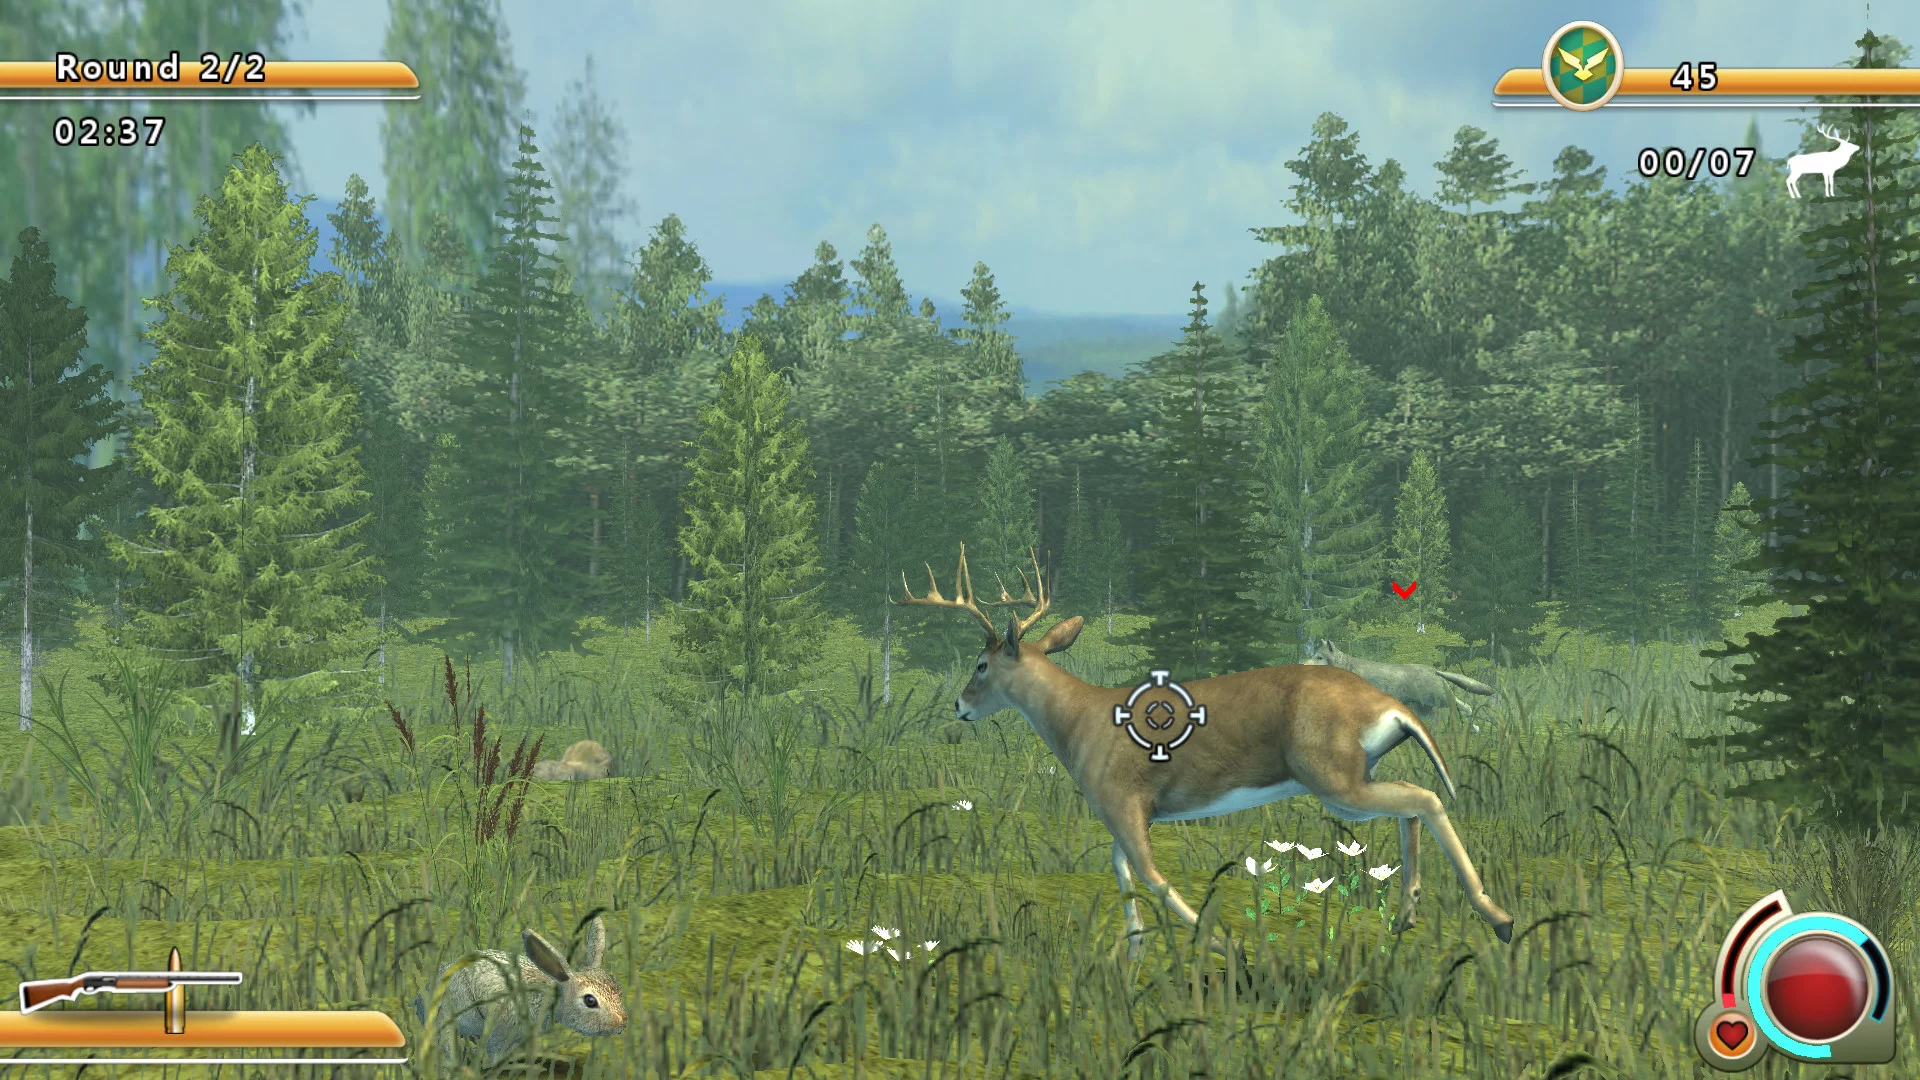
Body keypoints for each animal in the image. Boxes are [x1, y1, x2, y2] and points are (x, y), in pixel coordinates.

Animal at [897, 544, 1514, 964]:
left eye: (981, 664)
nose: (959, 705)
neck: (1077, 723)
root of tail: (1389, 705)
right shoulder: (1127, 811)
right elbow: (1122, 868)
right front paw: (1134, 951)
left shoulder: (1122, 798)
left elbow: (1150, 873)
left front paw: (1224, 946)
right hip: (1351, 778)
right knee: (1411, 803)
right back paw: (1407, 916)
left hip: (1331, 774)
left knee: (1426, 796)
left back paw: (1499, 918)